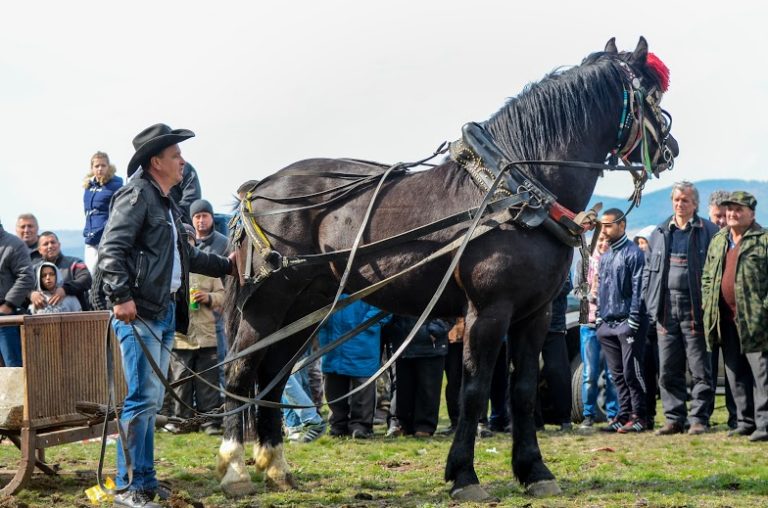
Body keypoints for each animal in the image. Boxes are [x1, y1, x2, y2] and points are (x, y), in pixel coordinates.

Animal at [216, 36, 680, 500]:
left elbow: (524, 391)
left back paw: (276, 467)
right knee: (240, 373)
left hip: (305, 307)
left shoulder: (535, 313)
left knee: (272, 375)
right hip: (266, 306)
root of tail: (260, 188)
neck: (516, 194)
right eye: (654, 98)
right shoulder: (488, 311)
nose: (670, 150)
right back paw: (235, 468)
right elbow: (474, 392)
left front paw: (534, 471)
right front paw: (463, 475)